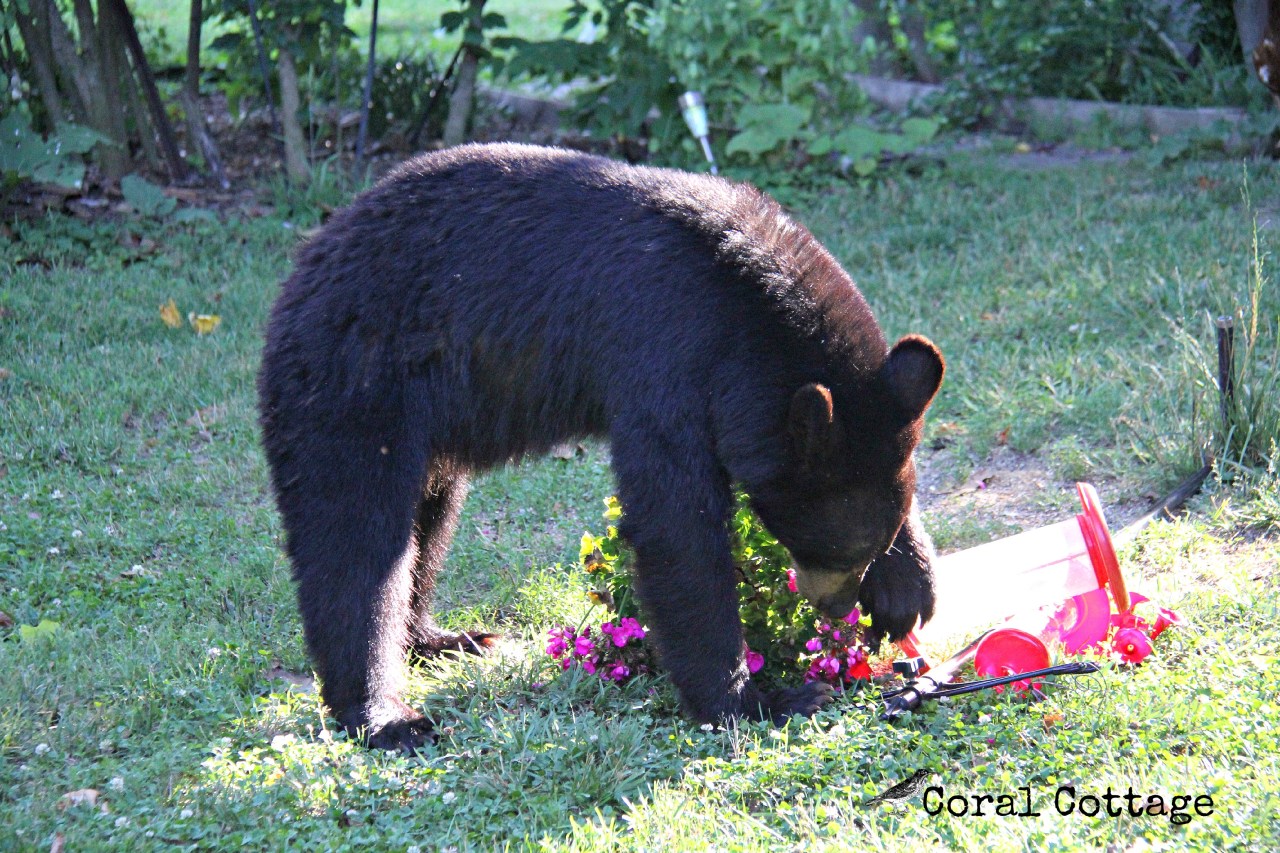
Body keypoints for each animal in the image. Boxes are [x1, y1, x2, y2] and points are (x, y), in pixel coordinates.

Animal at [257, 142, 944, 752]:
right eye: (832, 550)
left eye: (863, 550)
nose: (836, 608)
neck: (748, 308)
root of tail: (301, 269)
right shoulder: (664, 357)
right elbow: (675, 526)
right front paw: (760, 700)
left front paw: (907, 591)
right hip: (354, 383)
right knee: (357, 541)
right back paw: (386, 716)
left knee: (429, 517)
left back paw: (439, 638)